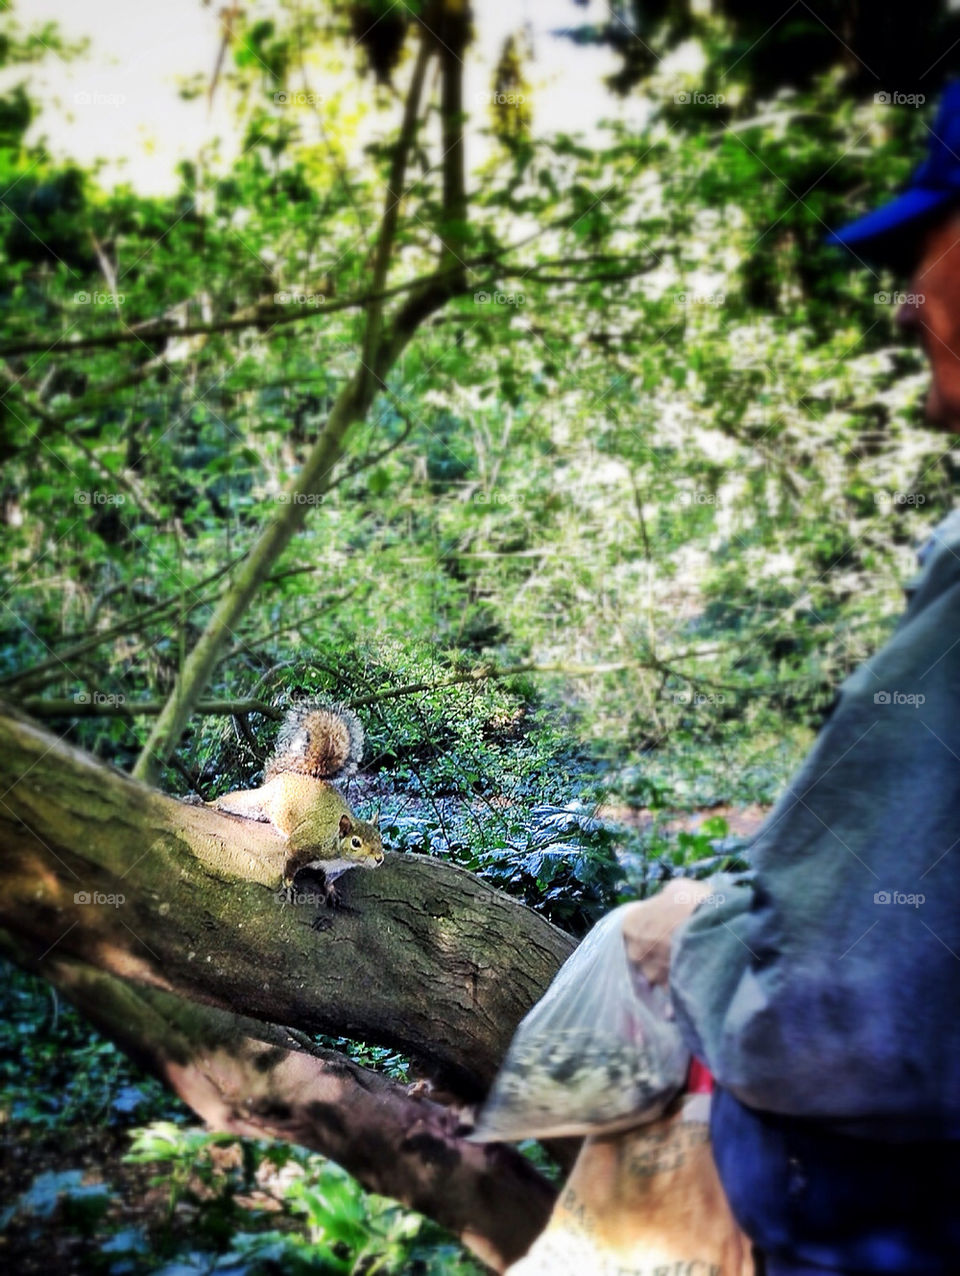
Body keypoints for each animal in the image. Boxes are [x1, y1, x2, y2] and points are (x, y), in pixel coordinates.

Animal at [211, 702, 384, 897]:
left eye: (380, 837)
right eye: (356, 842)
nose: (379, 859)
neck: (338, 856)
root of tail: (289, 773)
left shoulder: (337, 869)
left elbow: (329, 879)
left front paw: (330, 890)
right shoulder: (303, 843)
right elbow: (290, 862)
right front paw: (288, 884)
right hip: (260, 800)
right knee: (235, 800)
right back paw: (206, 802)